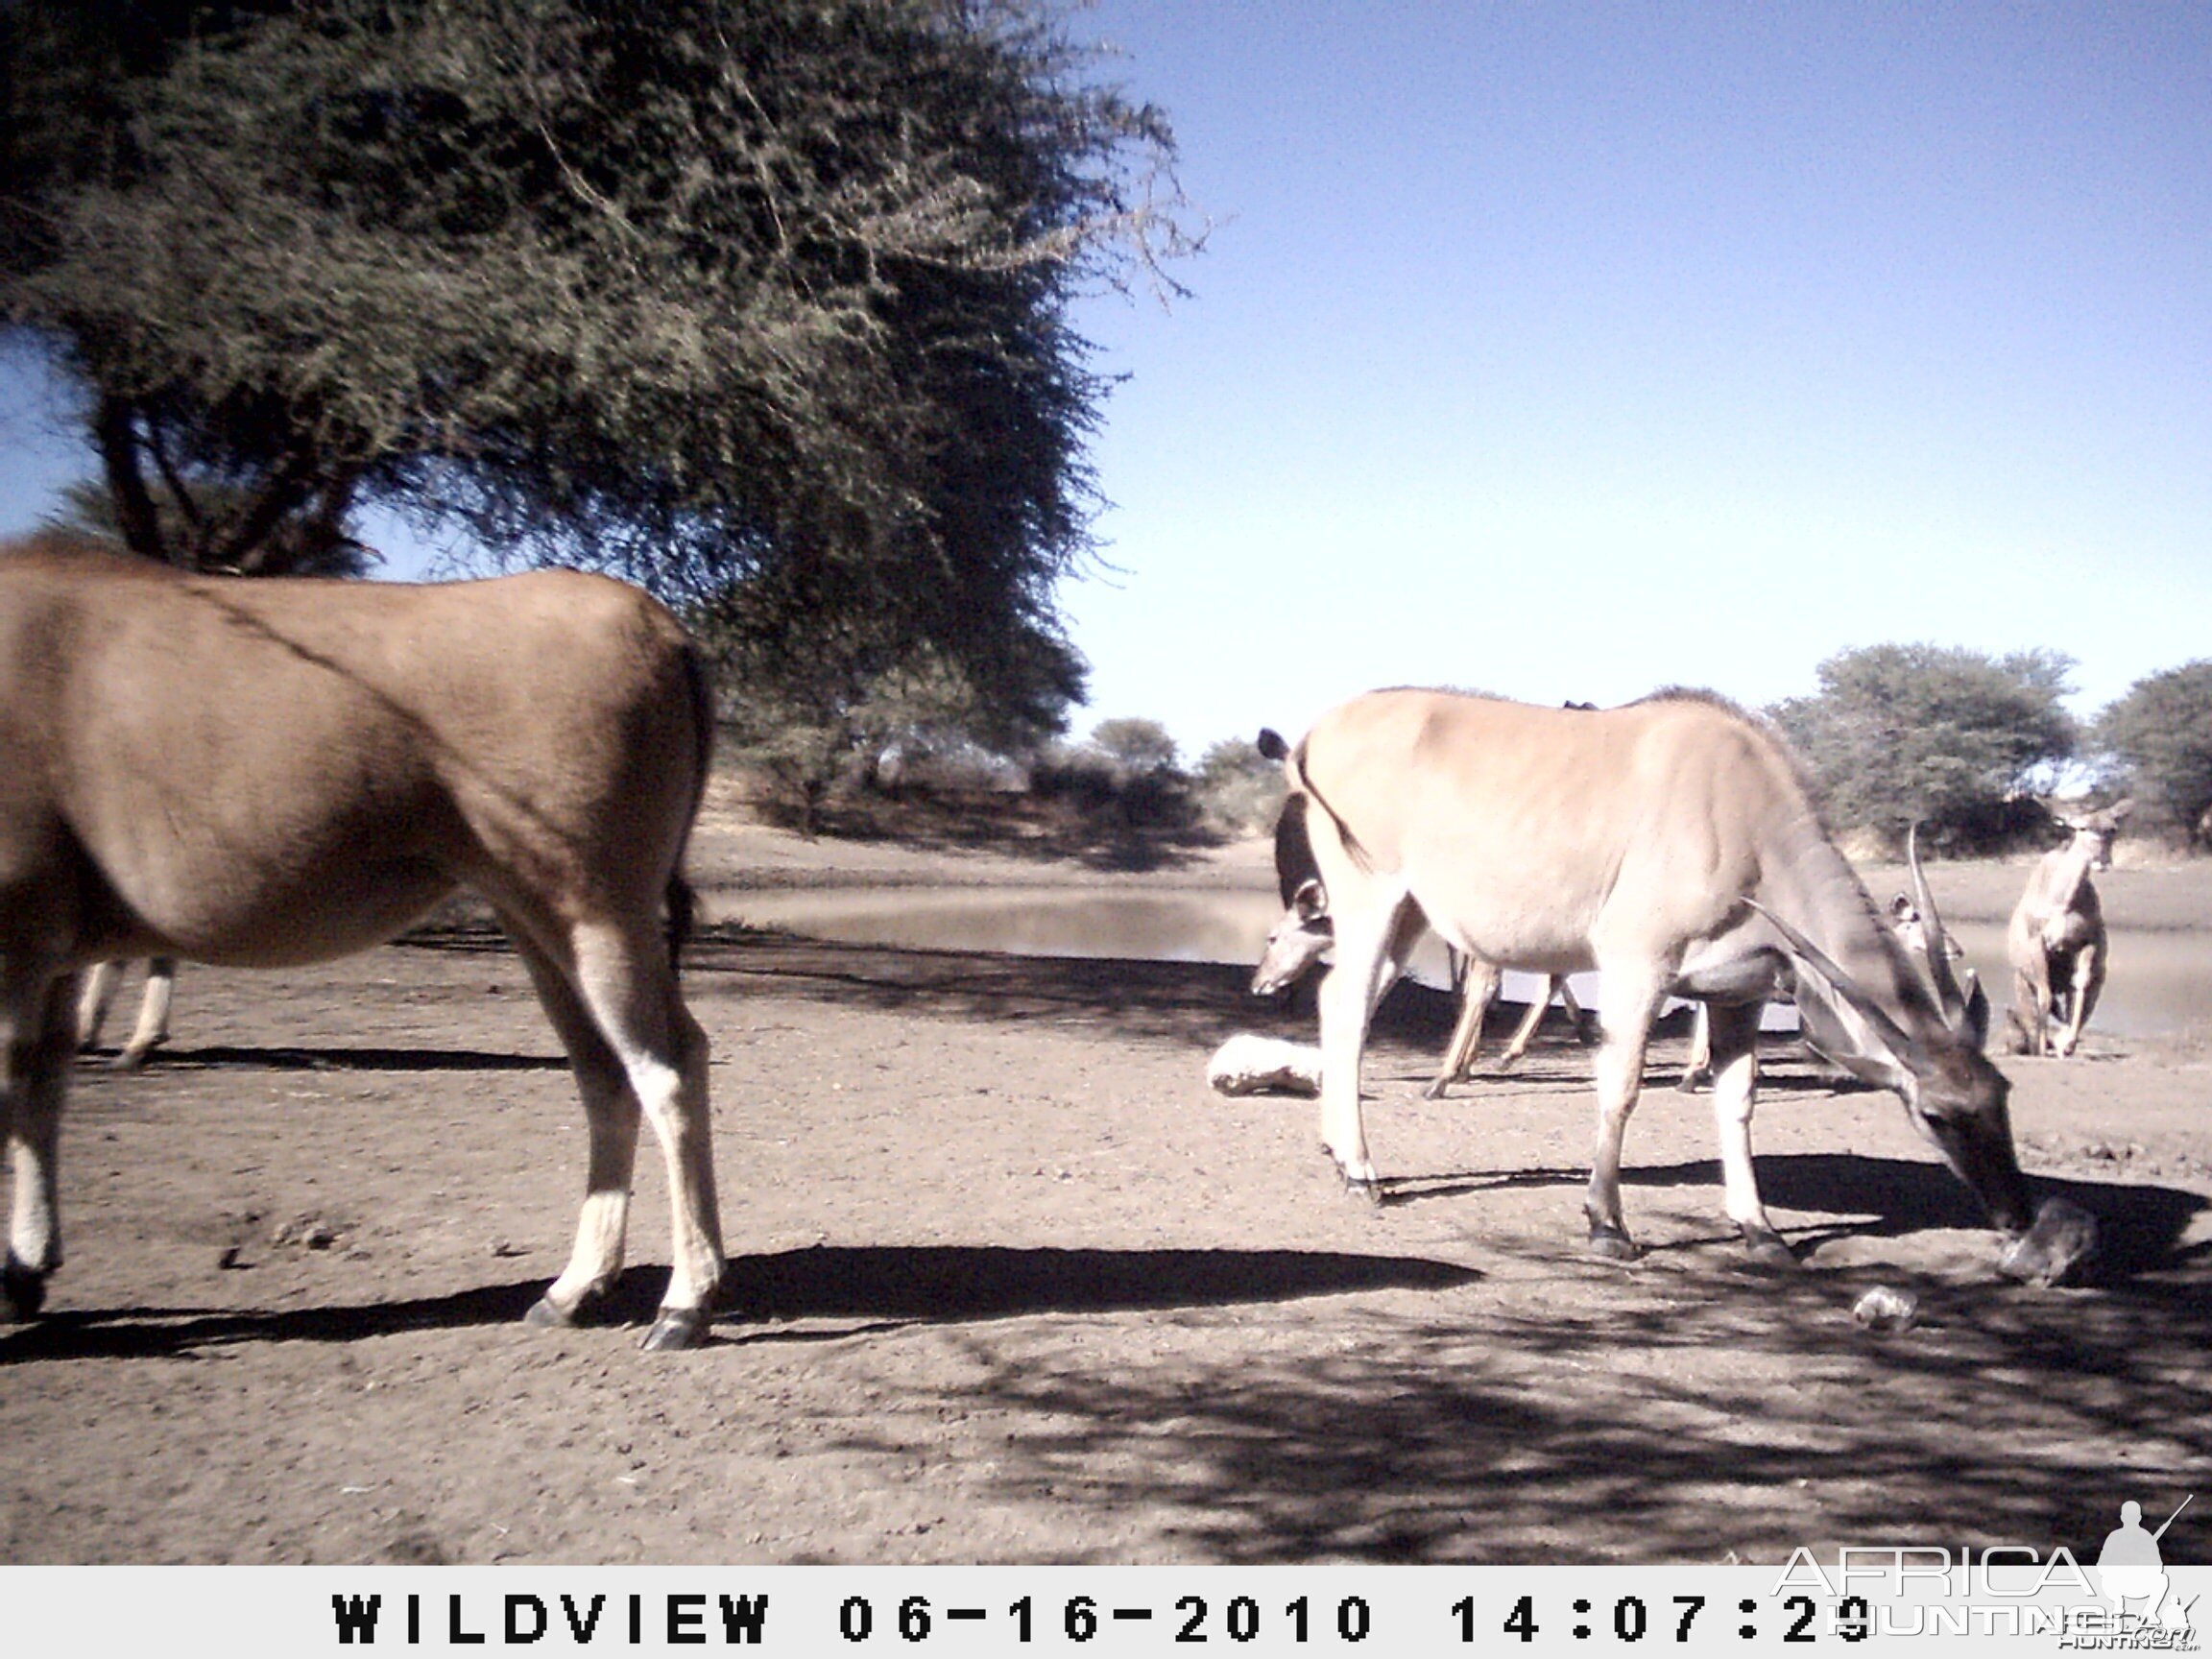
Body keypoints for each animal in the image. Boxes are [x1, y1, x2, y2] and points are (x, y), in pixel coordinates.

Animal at [2008, 801, 2123, 1057]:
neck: (2063, 901)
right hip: (2022, 983)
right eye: (2082, 827)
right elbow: (2045, 994)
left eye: (2112, 829)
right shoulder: (2037, 941)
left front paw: (2068, 1044)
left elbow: (2080, 986)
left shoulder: (2088, 941)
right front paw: (2043, 1048)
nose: (2102, 860)